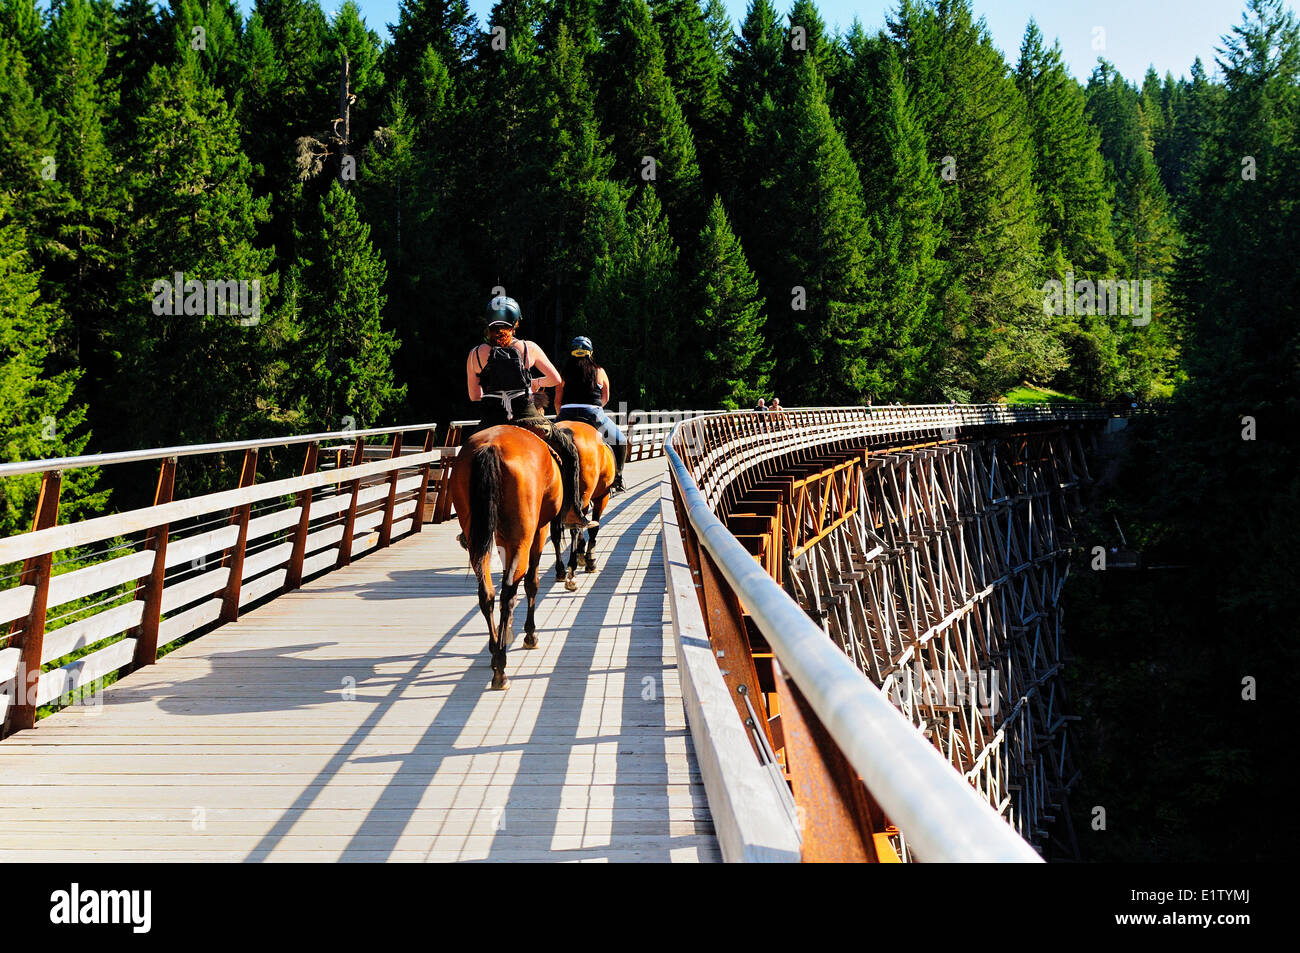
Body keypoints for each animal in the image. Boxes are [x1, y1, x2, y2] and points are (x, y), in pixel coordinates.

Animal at [452, 426, 564, 686]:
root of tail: (491, 446)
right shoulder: (538, 531)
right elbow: (532, 582)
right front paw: (530, 634)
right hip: (522, 537)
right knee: (508, 592)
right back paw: (501, 667)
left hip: (478, 539)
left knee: (488, 594)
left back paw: (495, 651)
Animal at [551, 421, 616, 590]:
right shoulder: (602, 497)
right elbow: (593, 528)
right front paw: (590, 561)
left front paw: (581, 553)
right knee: (574, 527)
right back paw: (571, 573)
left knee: (556, 533)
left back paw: (561, 571)